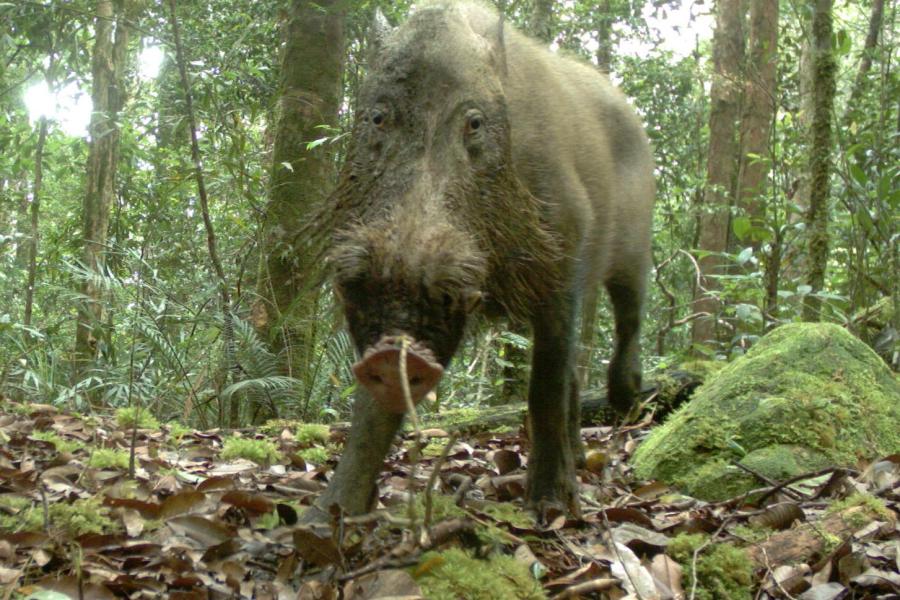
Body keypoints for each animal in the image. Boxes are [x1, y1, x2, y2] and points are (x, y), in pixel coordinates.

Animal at [307, 0, 654, 519]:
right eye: (378, 118)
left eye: (473, 123)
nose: (394, 351)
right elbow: (371, 414)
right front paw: (326, 513)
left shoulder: (565, 251)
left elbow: (545, 383)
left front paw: (550, 508)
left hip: (635, 245)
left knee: (628, 315)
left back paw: (626, 400)